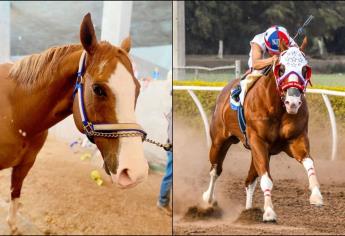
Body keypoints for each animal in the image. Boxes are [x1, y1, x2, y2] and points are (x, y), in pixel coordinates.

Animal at [0, 12, 147, 232]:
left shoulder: (24, 165)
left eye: (137, 88)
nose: (135, 171)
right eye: (98, 89)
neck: (17, 114)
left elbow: (15, 194)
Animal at [202, 37, 322, 222]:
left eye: (304, 69)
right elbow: (266, 179)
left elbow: (309, 162)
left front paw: (316, 196)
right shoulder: (258, 140)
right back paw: (208, 200)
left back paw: (248, 211)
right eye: (281, 68)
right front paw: (269, 212)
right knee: (215, 170)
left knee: (249, 181)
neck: (277, 107)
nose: (293, 102)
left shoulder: (296, 139)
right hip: (219, 140)